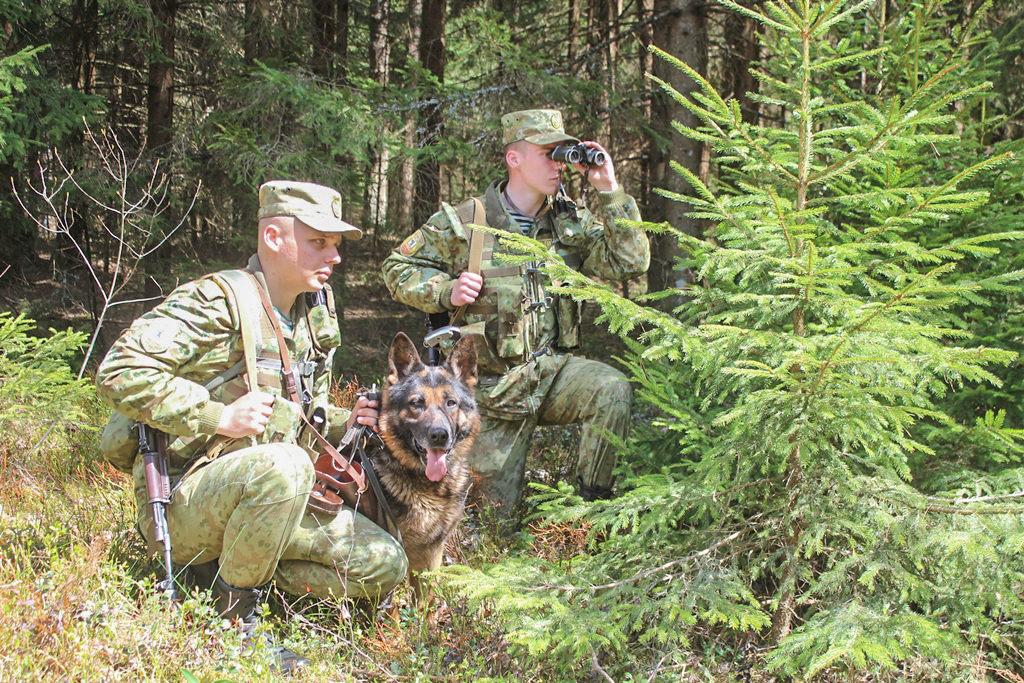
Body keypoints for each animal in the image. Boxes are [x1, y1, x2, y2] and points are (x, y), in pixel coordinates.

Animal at [374, 331, 477, 598]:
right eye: (416, 403)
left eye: (451, 403)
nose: (439, 435)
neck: (434, 489)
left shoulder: (433, 552)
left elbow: (426, 600)